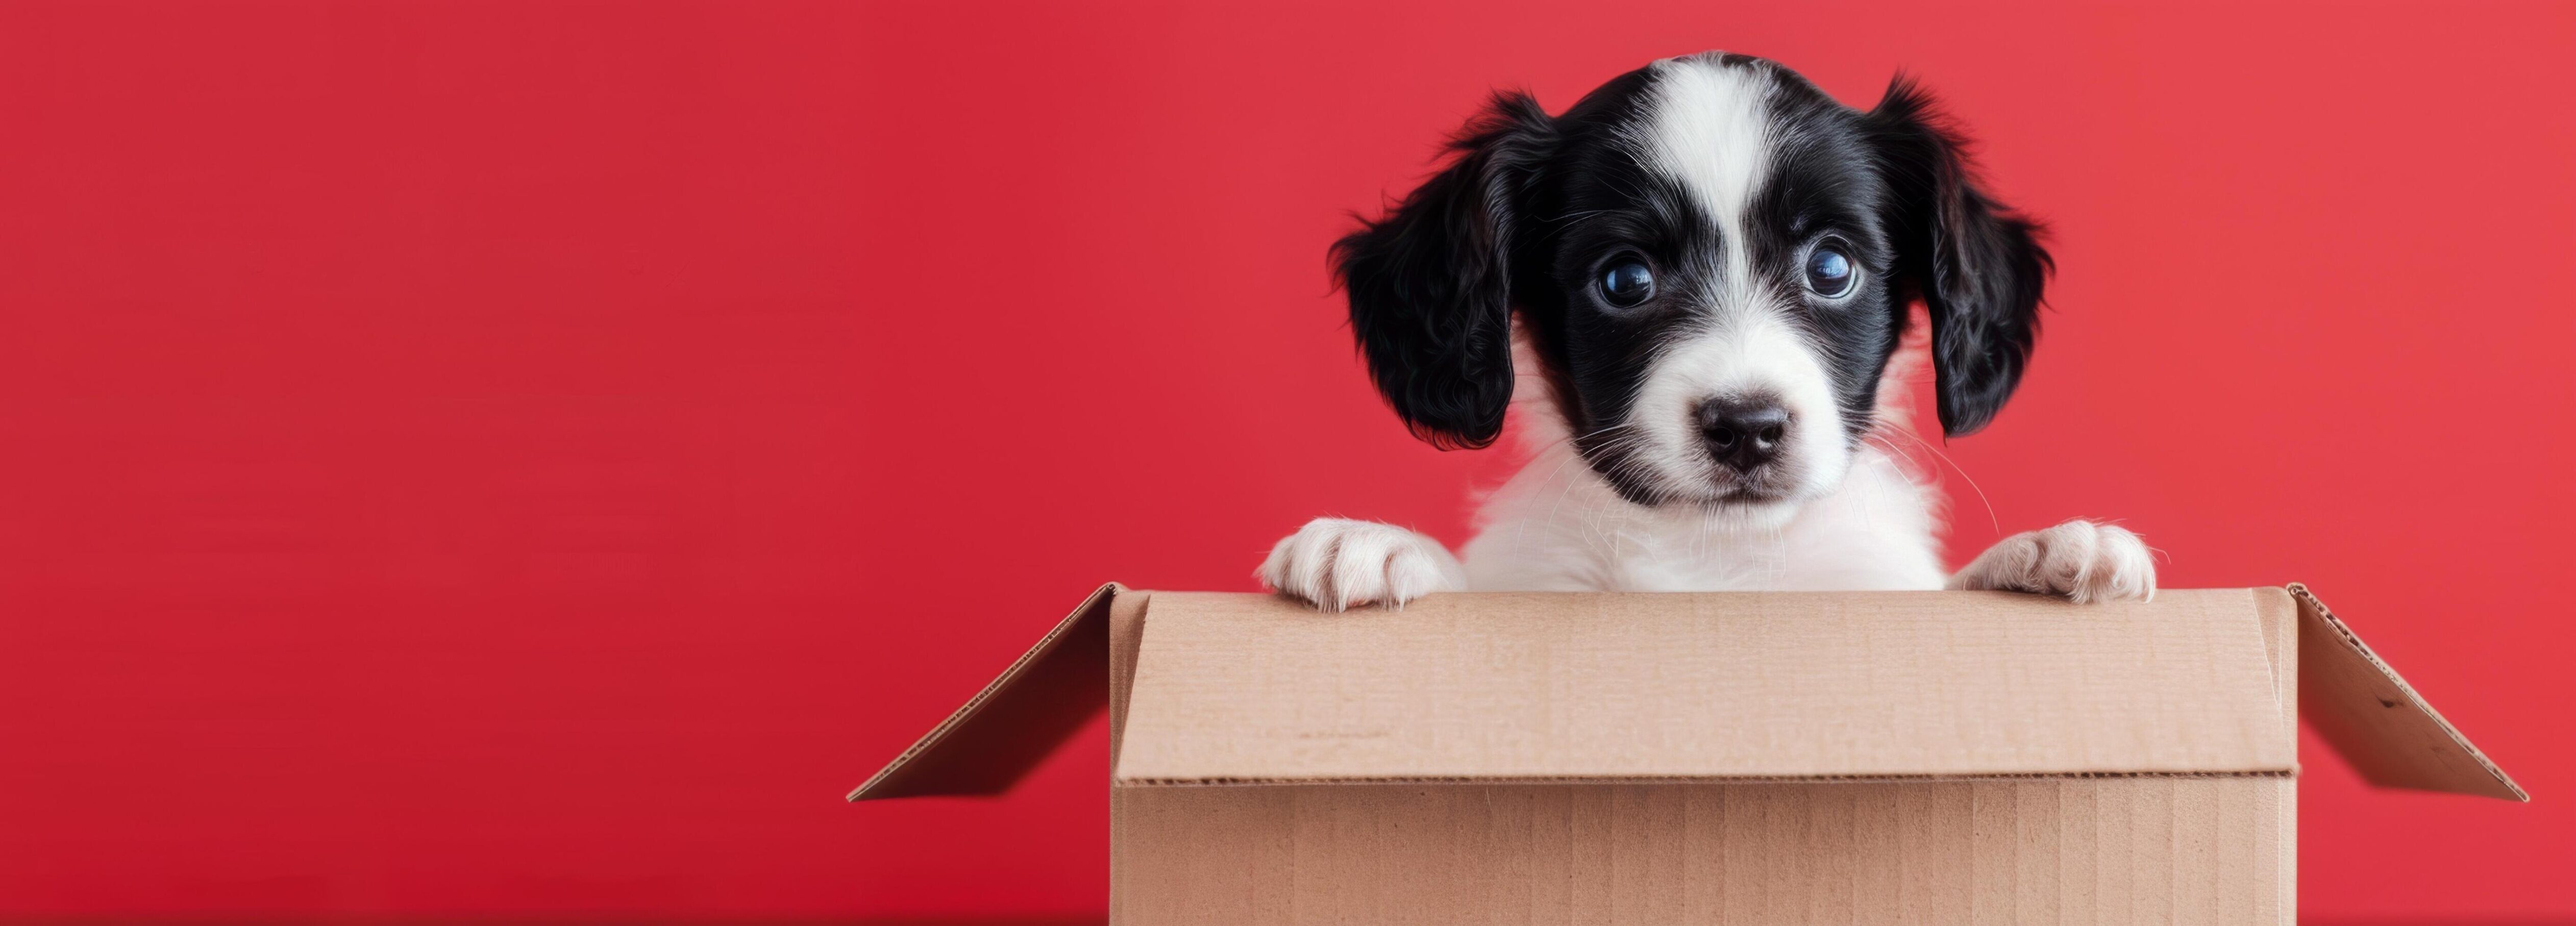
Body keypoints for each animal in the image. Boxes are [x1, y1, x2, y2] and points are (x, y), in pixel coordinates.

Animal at [1267, 54, 2153, 612]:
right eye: (1625, 280)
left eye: (1831, 266)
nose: (1748, 427)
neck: (1717, 559)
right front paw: (1380, 544)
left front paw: (2039, 555)